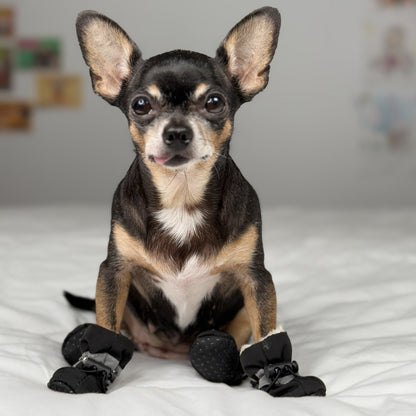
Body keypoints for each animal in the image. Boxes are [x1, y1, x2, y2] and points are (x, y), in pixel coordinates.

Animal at [48, 6, 324, 396]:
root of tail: (173, 352)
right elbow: (105, 327)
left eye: (214, 102)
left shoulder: (256, 279)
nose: (177, 132)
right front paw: (90, 370)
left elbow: (266, 333)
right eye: (141, 105)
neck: (182, 196)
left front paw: (282, 378)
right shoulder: (114, 273)